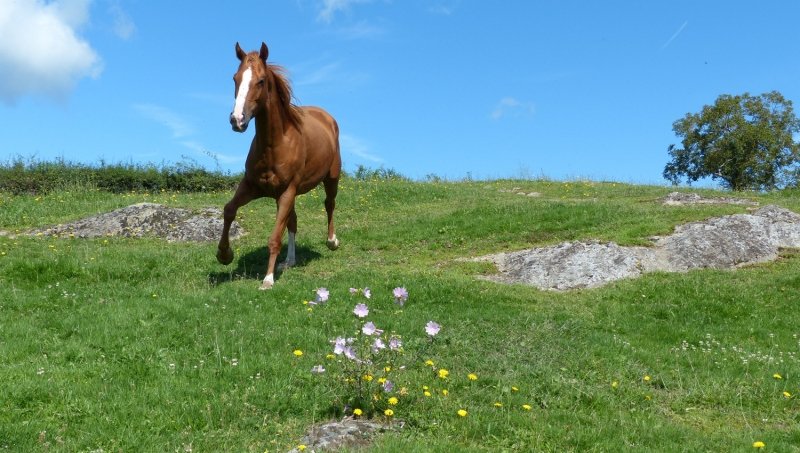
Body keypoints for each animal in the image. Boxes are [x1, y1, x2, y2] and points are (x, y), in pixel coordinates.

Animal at [216, 42, 341, 290]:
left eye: (261, 80)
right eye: (235, 78)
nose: (237, 120)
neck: (275, 144)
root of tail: (326, 116)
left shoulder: (286, 191)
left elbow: (274, 237)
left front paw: (267, 279)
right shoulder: (253, 187)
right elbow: (229, 210)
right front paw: (224, 255)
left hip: (330, 178)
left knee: (329, 204)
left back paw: (332, 241)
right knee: (292, 222)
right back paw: (289, 261)